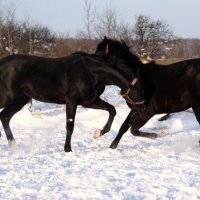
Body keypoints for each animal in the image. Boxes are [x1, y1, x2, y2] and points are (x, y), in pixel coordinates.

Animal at [0, 51, 145, 152]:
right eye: (139, 92)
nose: (143, 109)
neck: (90, 72)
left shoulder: (89, 101)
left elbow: (112, 110)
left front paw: (97, 133)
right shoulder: (71, 101)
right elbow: (70, 125)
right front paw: (68, 149)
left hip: (20, 99)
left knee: (5, 116)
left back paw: (13, 145)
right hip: (8, 98)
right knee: (4, 116)